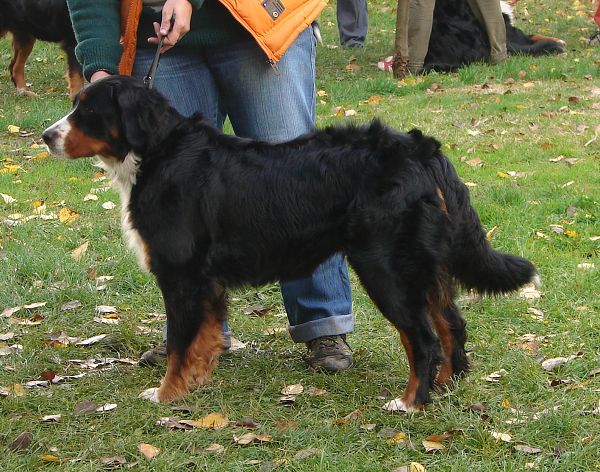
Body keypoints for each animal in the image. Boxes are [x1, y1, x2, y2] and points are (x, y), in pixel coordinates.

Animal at [43, 77, 540, 410]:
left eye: (88, 111)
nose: (46, 136)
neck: (157, 154)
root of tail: (420, 149)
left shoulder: (182, 276)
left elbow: (181, 343)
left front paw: (166, 395)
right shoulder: (206, 282)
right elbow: (203, 340)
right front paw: (194, 384)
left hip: (385, 267)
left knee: (423, 338)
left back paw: (411, 402)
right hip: (424, 265)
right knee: (451, 325)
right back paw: (446, 386)